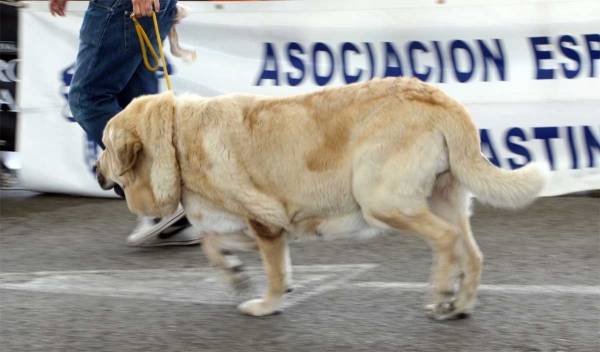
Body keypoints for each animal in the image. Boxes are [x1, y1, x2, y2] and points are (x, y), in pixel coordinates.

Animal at [96, 77, 552, 320]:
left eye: (104, 147)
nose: (96, 170)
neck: (176, 139)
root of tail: (440, 98)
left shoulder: (265, 223)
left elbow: (272, 273)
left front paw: (266, 304)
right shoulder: (258, 223)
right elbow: (213, 242)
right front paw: (235, 273)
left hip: (379, 199)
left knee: (445, 240)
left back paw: (441, 294)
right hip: (445, 198)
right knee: (470, 252)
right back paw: (460, 302)